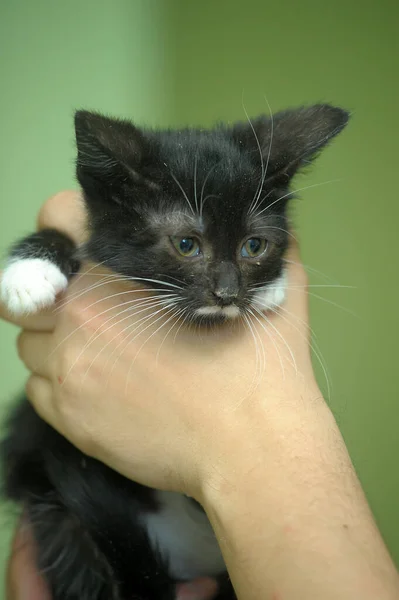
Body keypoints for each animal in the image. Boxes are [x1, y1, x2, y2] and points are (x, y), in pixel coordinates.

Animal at [0, 105, 348, 596]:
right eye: (187, 244)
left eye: (254, 246)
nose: (227, 292)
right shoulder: (34, 427)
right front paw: (30, 270)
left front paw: (271, 287)